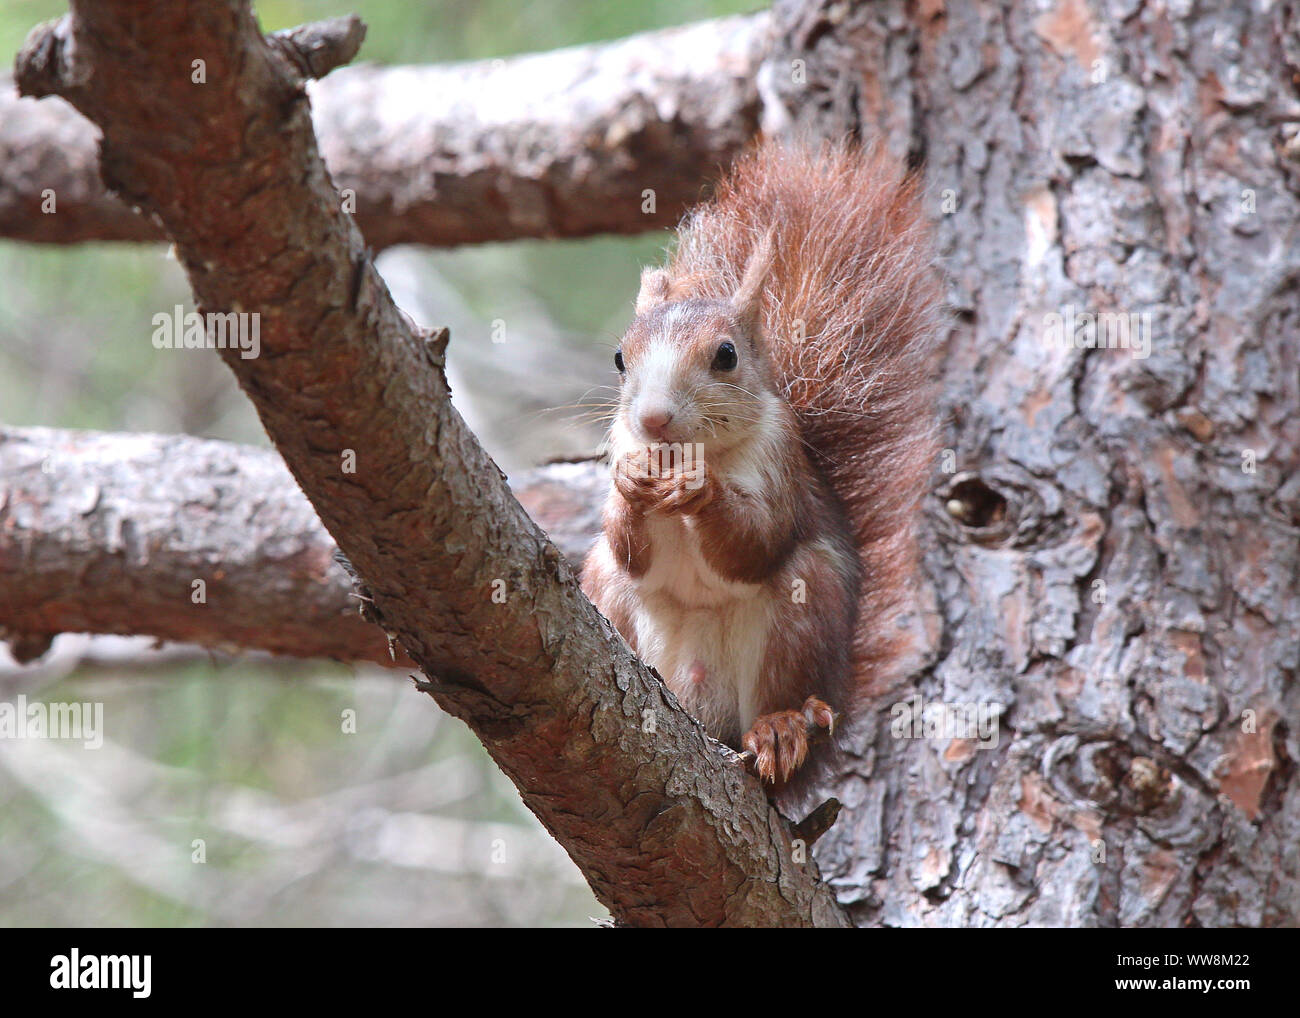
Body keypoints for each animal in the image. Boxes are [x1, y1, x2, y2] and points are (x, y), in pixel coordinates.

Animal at [582, 137, 946, 806]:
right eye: (620, 358)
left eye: (726, 355)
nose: (652, 419)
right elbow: (630, 550)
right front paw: (629, 490)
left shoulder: (778, 464)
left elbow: (755, 543)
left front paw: (701, 491)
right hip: (610, 595)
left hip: (804, 614)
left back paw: (781, 729)